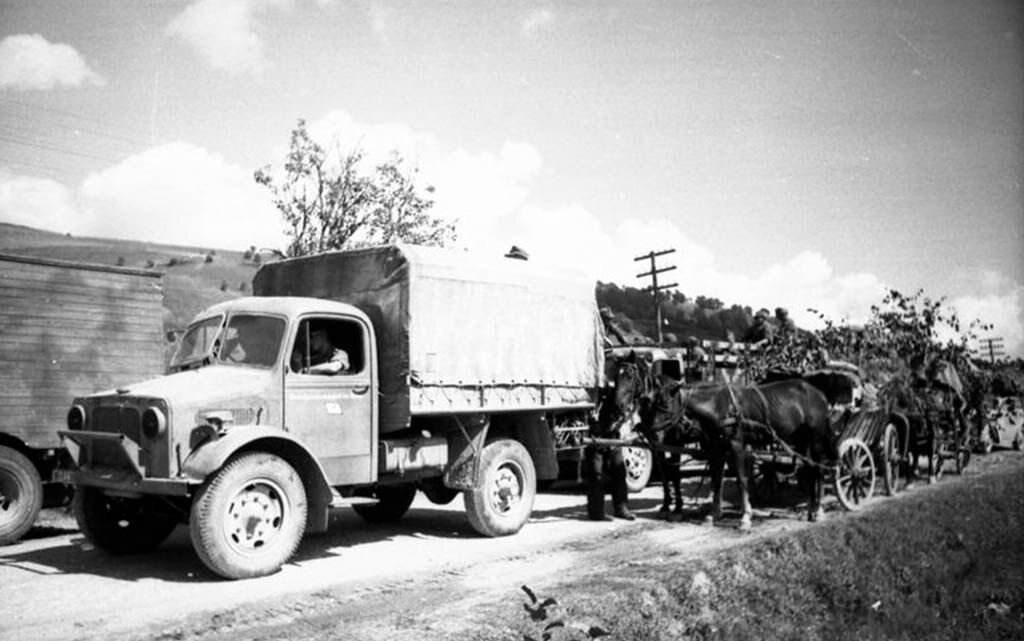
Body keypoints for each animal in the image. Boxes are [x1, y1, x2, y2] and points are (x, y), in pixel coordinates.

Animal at [651, 376, 835, 528]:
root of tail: (819, 393)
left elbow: (741, 480)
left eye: (666, 404)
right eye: (653, 403)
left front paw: (745, 517)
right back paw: (810, 510)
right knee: (809, 469)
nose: (652, 431)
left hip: (815, 439)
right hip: (801, 440)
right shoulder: (717, 448)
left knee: (819, 470)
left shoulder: (736, 444)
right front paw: (714, 514)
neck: (717, 405)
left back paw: (819, 511)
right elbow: (716, 480)